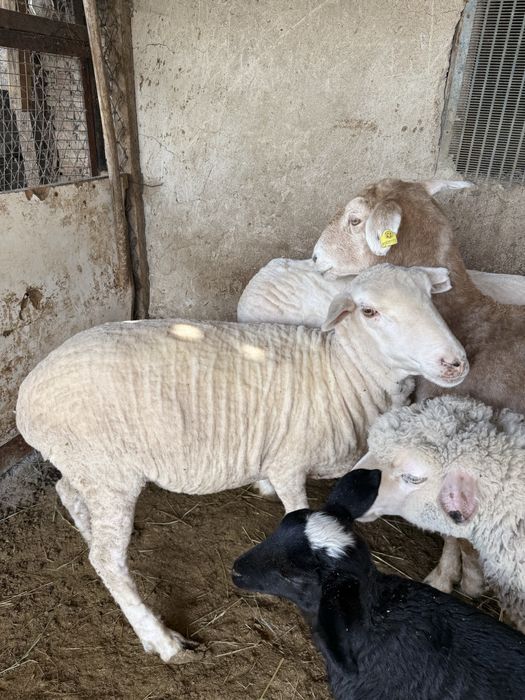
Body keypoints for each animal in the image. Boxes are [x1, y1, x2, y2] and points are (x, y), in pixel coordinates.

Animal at [15, 264, 467, 663]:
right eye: (370, 311)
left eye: (430, 297)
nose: (455, 362)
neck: (341, 371)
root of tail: (26, 398)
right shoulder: (290, 463)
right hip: (108, 471)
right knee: (107, 560)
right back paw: (162, 640)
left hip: (86, 465)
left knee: (67, 492)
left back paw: (92, 532)